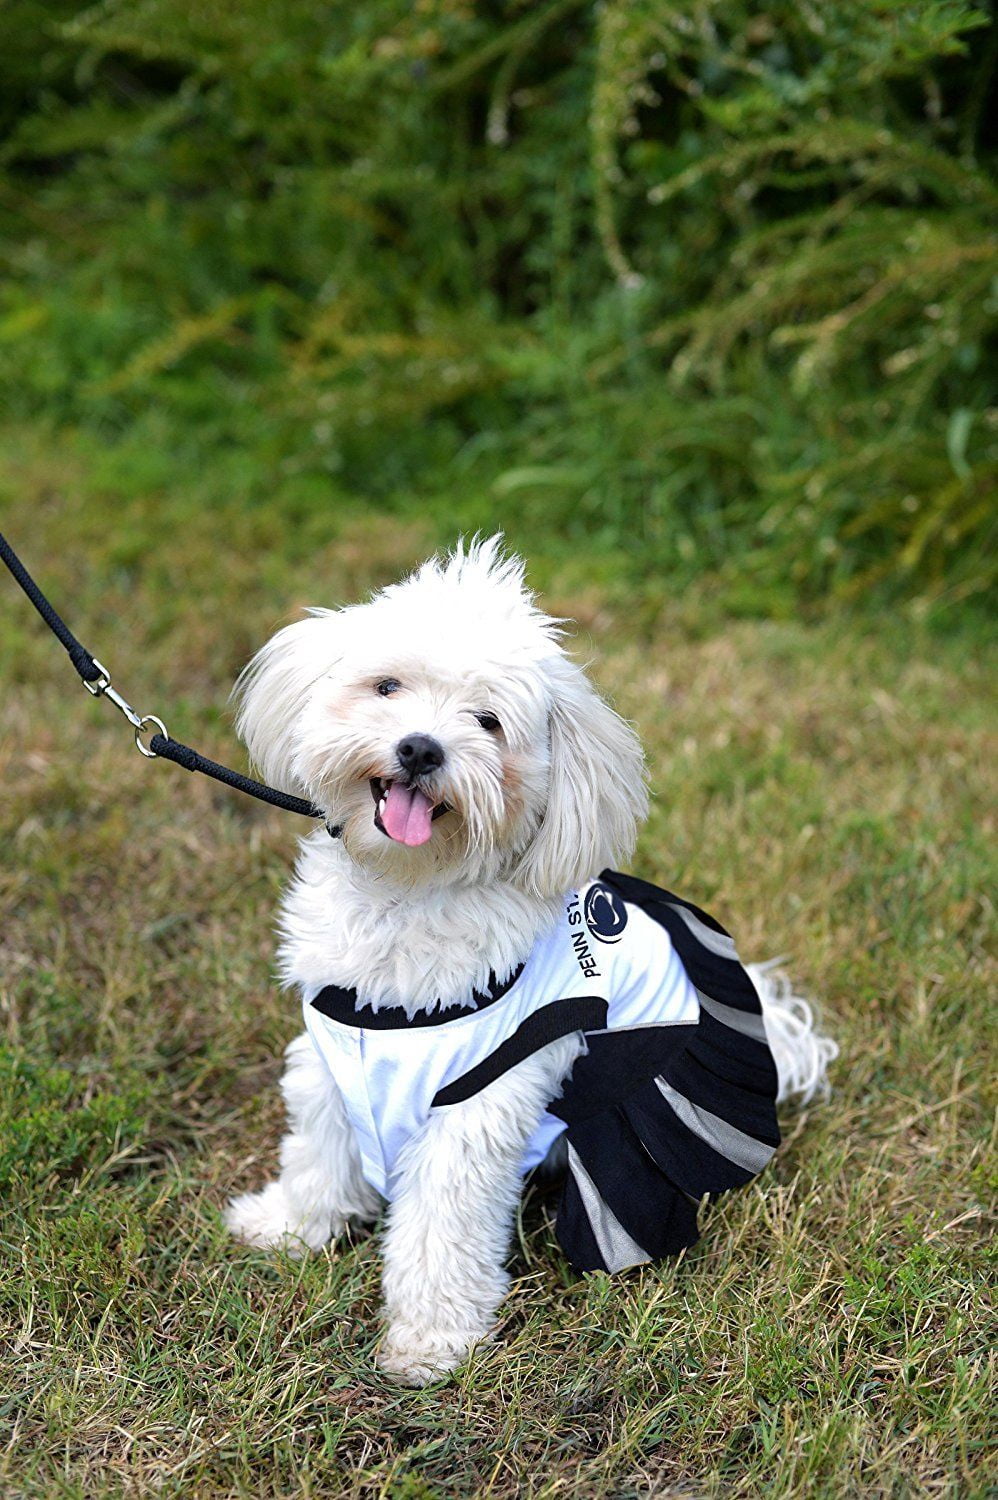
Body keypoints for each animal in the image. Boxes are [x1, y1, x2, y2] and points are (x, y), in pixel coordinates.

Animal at [225, 537, 834, 1380]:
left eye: (488, 722)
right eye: (388, 686)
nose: (421, 748)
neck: (407, 891)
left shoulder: (473, 1108)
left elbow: (440, 1230)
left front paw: (430, 1341)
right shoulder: (329, 1056)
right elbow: (318, 1152)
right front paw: (290, 1225)